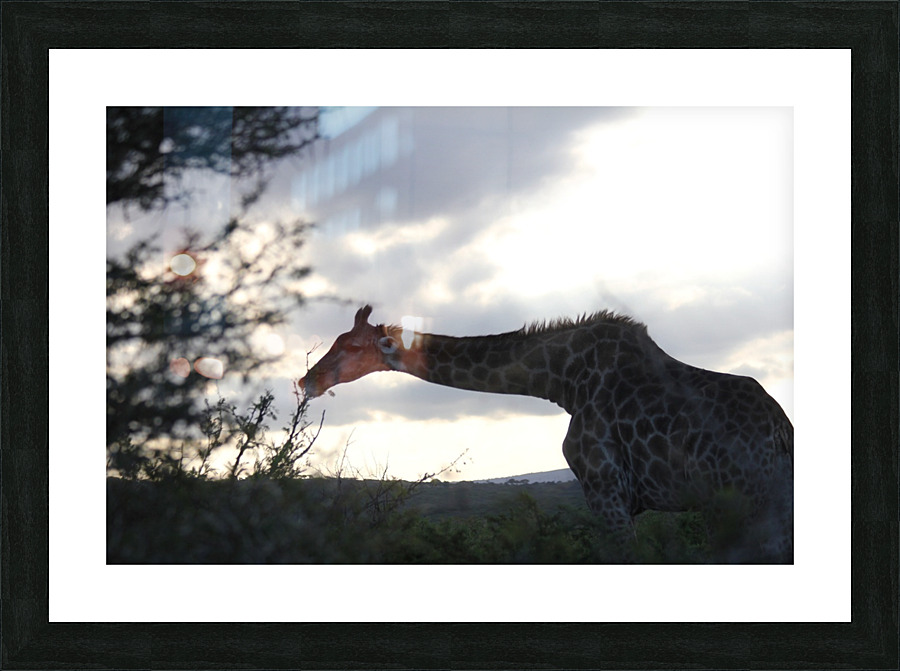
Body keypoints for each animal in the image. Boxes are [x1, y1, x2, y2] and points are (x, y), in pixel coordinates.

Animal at [299, 305, 794, 563]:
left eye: (352, 346)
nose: (307, 380)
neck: (563, 381)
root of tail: (779, 430)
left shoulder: (605, 490)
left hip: (737, 502)